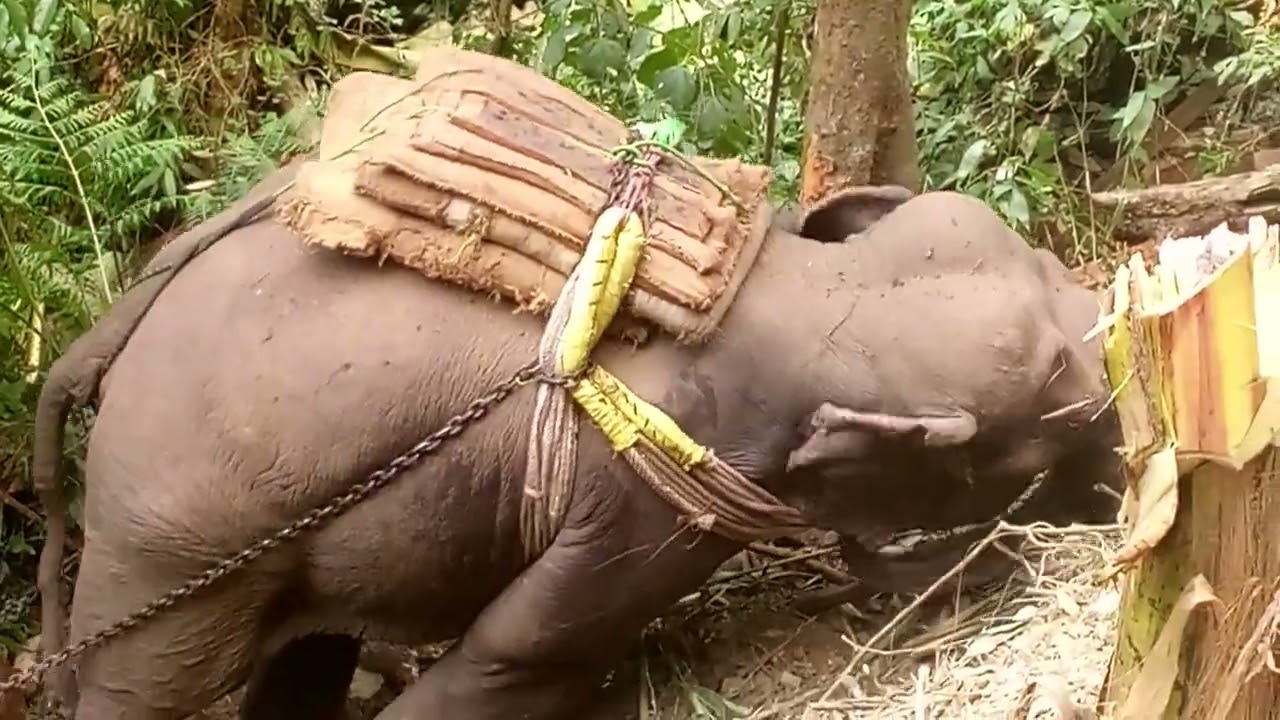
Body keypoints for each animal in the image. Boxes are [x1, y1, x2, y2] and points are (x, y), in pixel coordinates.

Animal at [29, 167, 1121, 719]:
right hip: (171, 540)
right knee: (145, 690)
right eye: (1050, 413)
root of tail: (111, 327)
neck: (790, 296)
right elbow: (525, 648)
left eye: (1041, 259)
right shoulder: (649, 500)